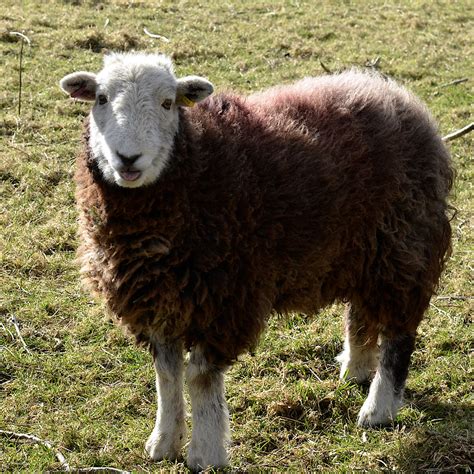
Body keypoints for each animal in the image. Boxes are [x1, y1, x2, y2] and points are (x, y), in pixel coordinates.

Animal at [59, 51, 452, 470]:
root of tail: (398, 97)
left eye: (168, 103)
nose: (128, 158)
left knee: (398, 331)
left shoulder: (223, 295)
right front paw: (163, 443)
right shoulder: (160, 297)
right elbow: (166, 374)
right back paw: (356, 368)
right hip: (363, 249)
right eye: (100, 98)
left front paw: (206, 453)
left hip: (403, 245)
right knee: (361, 312)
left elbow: (199, 376)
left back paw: (379, 408)